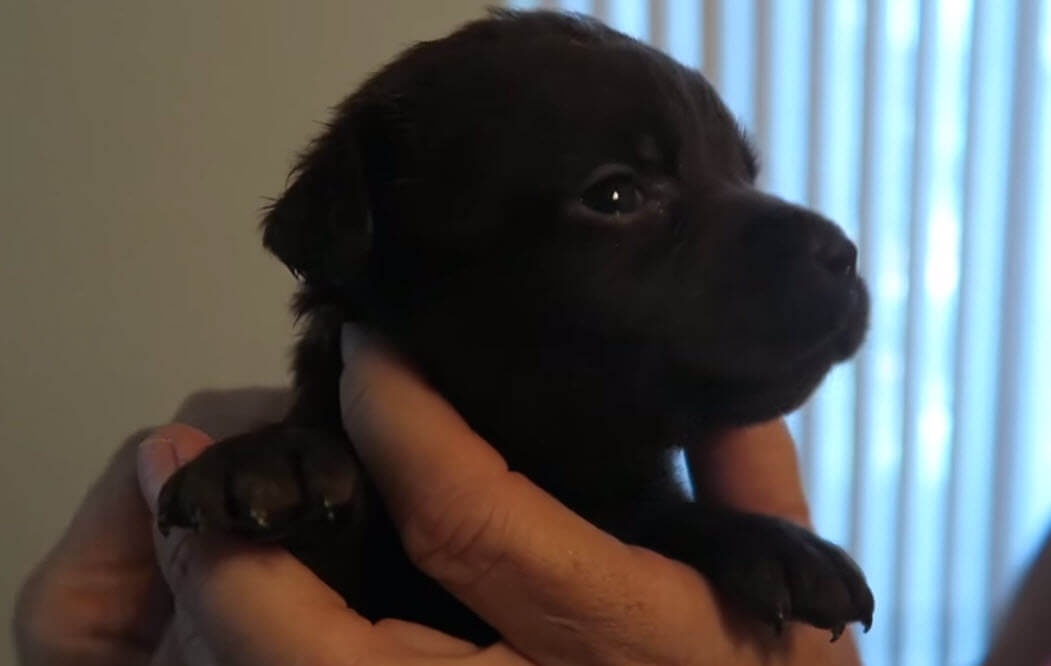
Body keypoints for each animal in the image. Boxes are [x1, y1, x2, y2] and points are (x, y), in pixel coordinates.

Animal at [159, 9, 874, 642]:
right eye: (616, 194)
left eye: (744, 173)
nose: (844, 252)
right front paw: (277, 458)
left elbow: (661, 521)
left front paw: (773, 541)